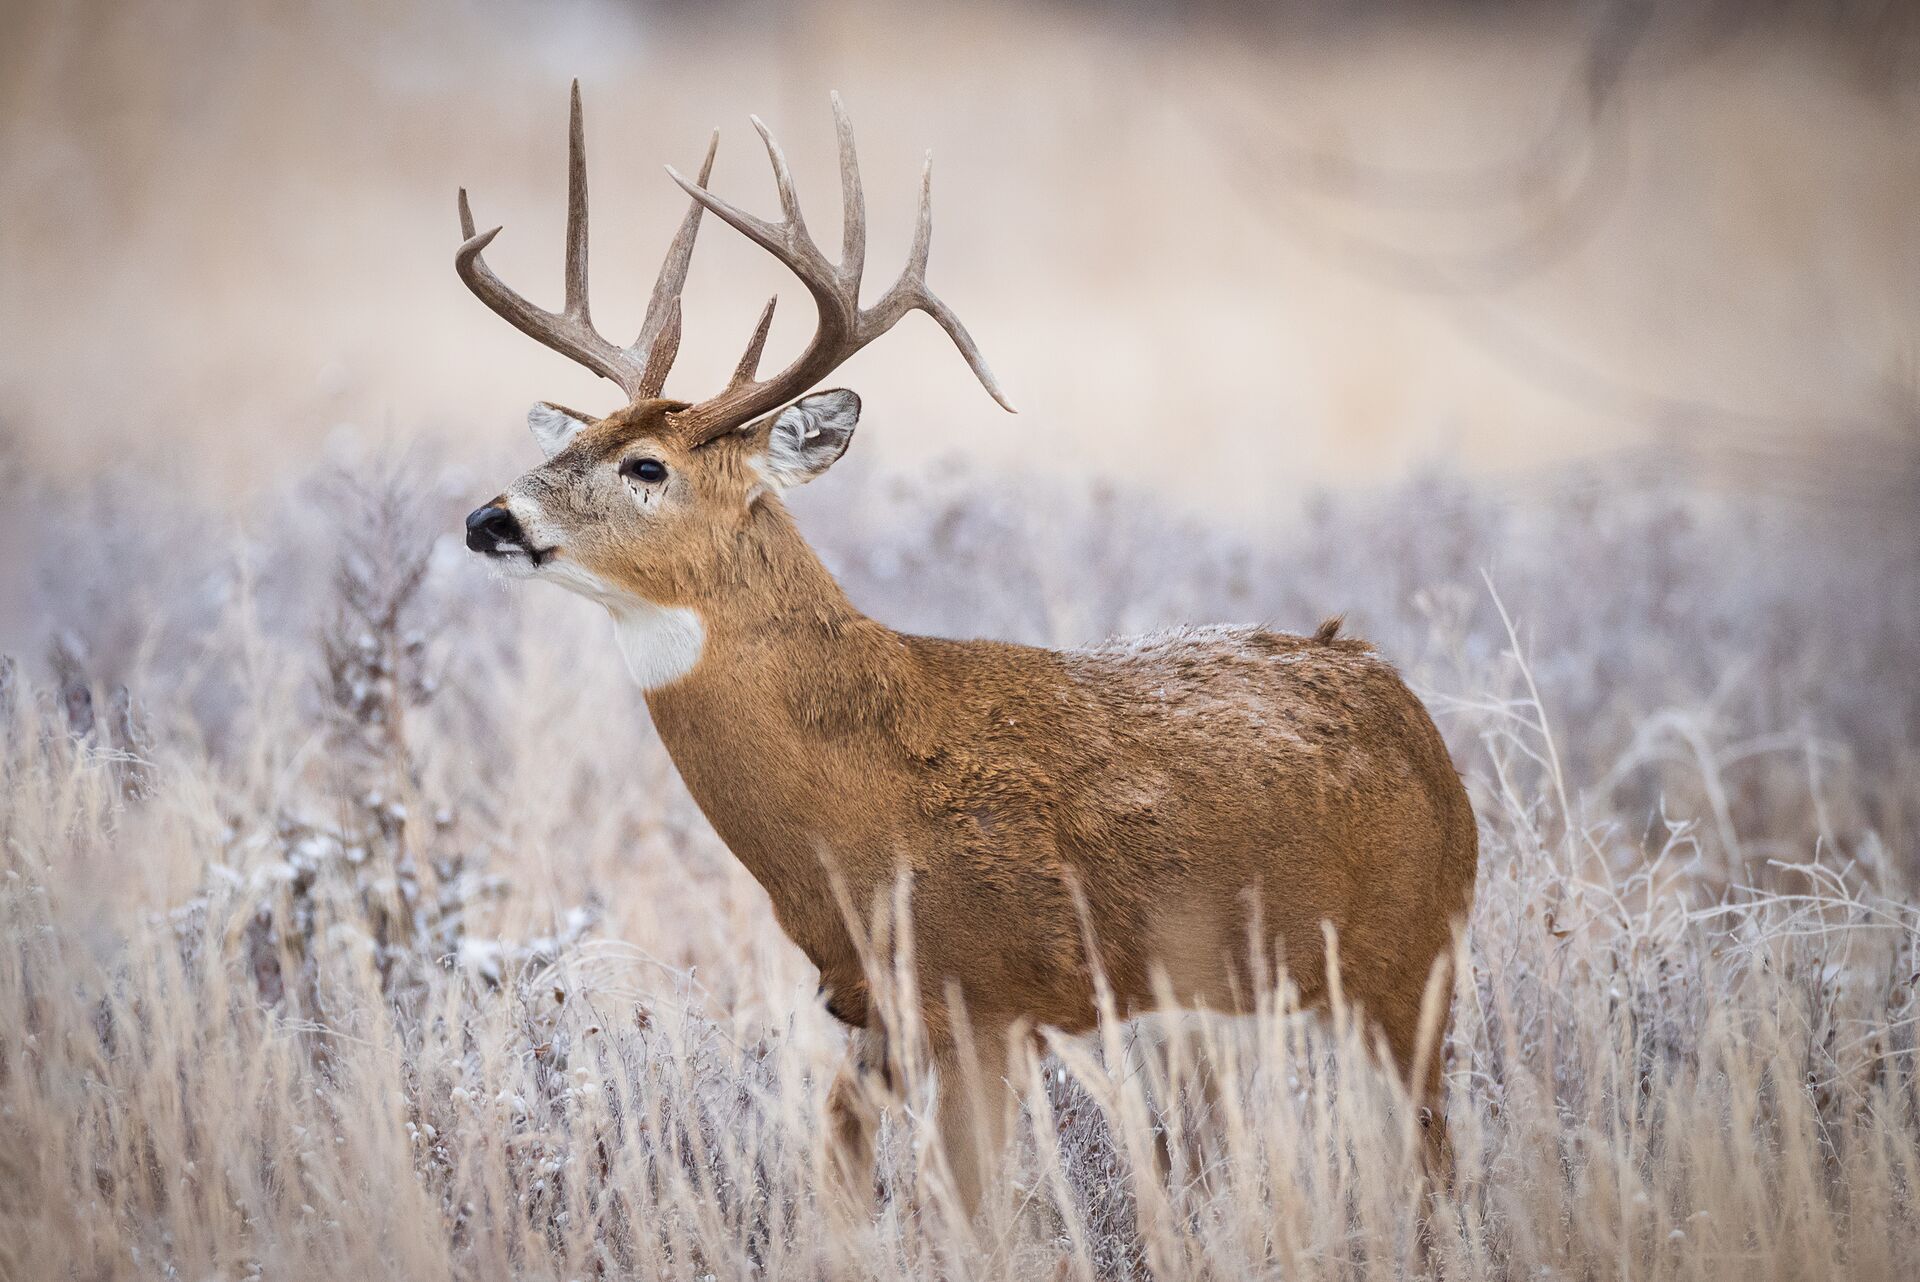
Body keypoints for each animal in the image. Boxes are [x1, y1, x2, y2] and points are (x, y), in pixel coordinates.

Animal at [456, 82, 1474, 1220]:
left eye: (646, 466)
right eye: (572, 442)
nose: (488, 519)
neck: (857, 792)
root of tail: (1409, 712)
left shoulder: (984, 995)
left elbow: (971, 1214)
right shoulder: (877, 1010)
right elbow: (839, 1169)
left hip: (1408, 957)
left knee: (1437, 1154)